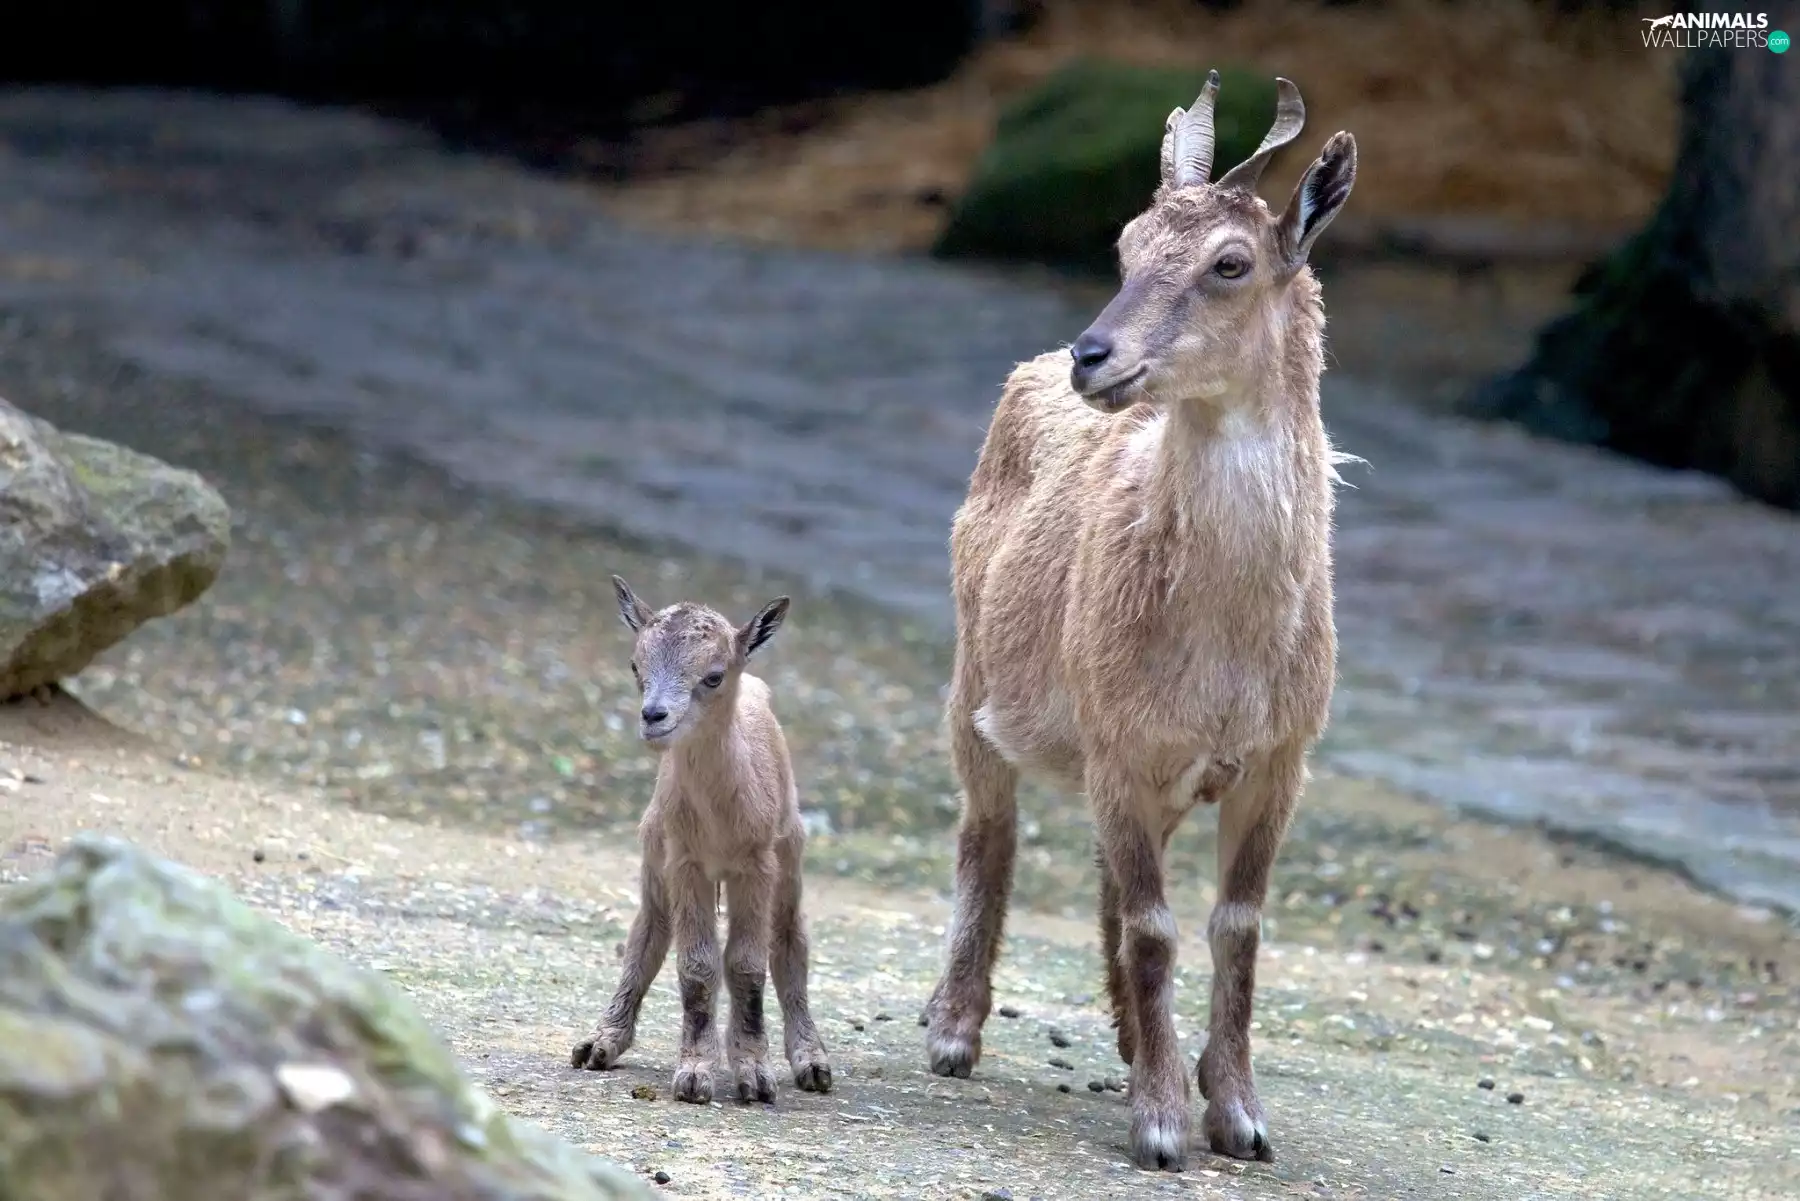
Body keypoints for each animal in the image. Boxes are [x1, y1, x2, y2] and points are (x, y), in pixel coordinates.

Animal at [571, 576, 832, 1103]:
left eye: (713, 676)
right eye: (636, 665)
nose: (654, 716)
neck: (719, 820)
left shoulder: (757, 864)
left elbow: (748, 964)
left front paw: (754, 1075)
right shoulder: (684, 861)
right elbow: (696, 966)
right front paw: (695, 1073)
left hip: (790, 854)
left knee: (789, 941)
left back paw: (811, 1062)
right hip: (654, 855)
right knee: (648, 933)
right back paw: (600, 1043)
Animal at [922, 71, 1357, 1170]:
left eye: (1229, 263)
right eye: (1123, 246)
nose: (1095, 356)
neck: (1229, 651)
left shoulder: (1276, 760)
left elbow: (1233, 924)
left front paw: (1236, 1110)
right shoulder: (1119, 742)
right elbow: (1159, 924)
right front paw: (1162, 1122)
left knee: (1108, 885)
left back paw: (1126, 1035)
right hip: (974, 679)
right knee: (989, 831)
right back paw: (953, 1027)